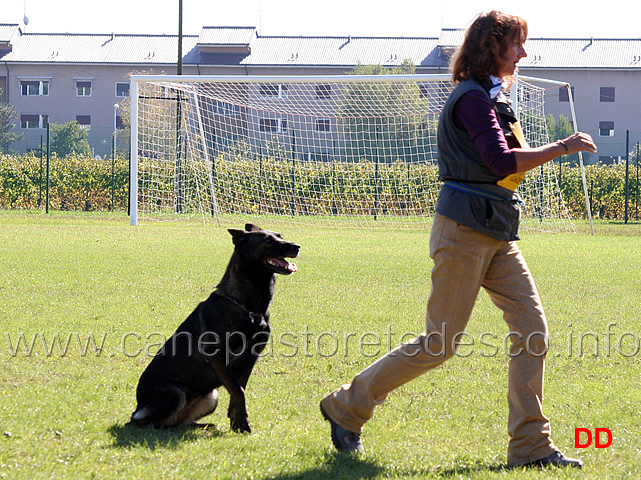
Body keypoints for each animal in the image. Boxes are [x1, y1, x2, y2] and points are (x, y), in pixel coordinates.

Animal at [132, 224, 300, 432]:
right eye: (268, 241)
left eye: (280, 236)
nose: (297, 247)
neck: (248, 309)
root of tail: (138, 407)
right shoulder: (217, 356)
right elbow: (238, 391)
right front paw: (242, 423)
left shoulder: (250, 357)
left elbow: (239, 390)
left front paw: (236, 422)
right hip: (174, 393)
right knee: (144, 423)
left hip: (211, 397)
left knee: (179, 422)